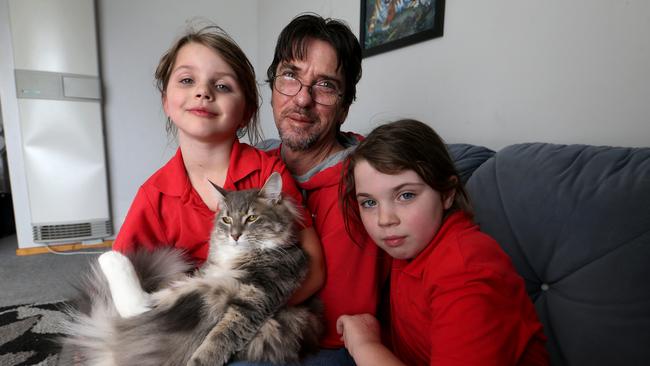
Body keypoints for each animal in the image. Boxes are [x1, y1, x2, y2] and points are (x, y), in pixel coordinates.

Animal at [58, 174, 322, 366]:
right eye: (226, 220)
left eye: (252, 218)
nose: (235, 236)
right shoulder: (209, 273)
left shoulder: (256, 297)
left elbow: (219, 340)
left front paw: (199, 361)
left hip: (211, 293)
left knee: (138, 305)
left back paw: (110, 257)